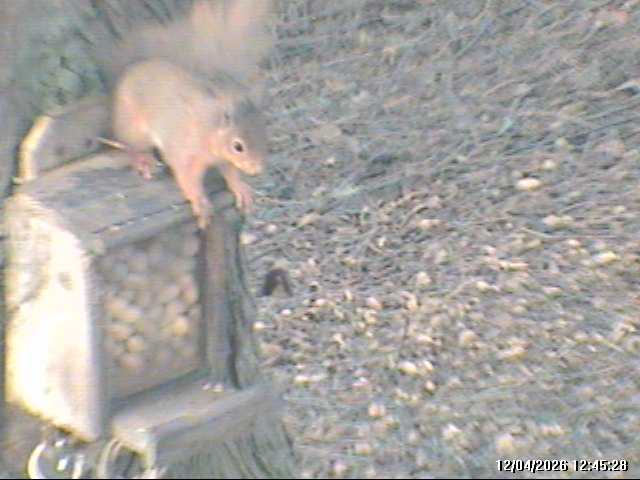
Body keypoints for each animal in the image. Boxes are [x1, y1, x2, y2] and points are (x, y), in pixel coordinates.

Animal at [101, 0, 273, 228]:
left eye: (265, 136)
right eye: (238, 146)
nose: (257, 169)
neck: (209, 131)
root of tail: (130, 70)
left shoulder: (223, 159)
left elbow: (230, 174)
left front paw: (241, 189)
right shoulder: (185, 153)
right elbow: (187, 179)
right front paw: (201, 202)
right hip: (133, 129)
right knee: (131, 146)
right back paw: (143, 160)